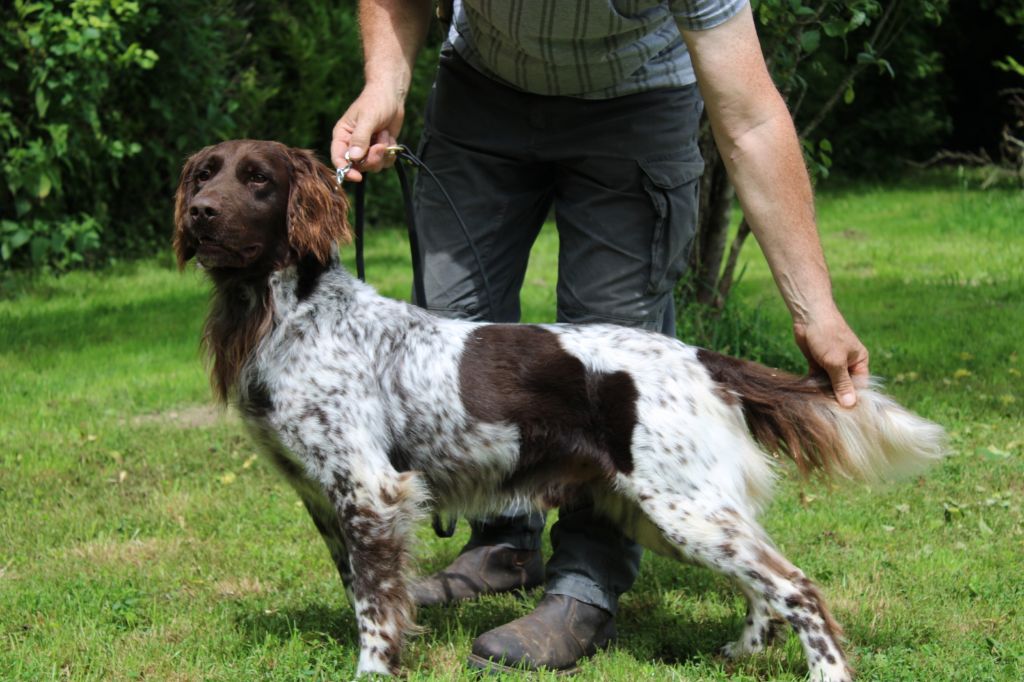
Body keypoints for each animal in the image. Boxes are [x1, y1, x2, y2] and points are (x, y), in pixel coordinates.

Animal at [174, 140, 942, 675]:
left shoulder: (369, 490)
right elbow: (365, 593)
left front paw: (372, 670)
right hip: (666, 511)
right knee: (764, 587)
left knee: (798, 587)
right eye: (206, 172)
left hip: (681, 508)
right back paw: (739, 654)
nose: (200, 214)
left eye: (259, 179)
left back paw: (825, 672)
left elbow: (374, 607)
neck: (287, 314)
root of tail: (700, 357)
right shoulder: (327, 498)